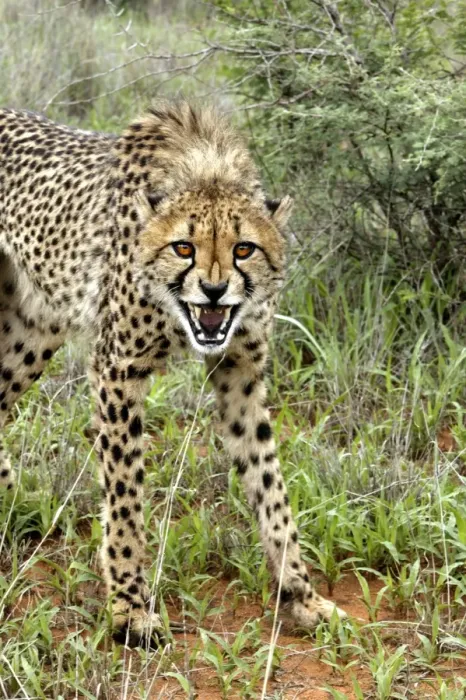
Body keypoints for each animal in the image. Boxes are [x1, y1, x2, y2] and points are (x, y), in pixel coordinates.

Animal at [0, 100, 346, 647]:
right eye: (184, 247)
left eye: (244, 249)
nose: (213, 290)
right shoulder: (119, 367)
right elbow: (125, 497)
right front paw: (130, 610)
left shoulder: (240, 372)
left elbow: (270, 484)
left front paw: (302, 595)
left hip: (33, 330)